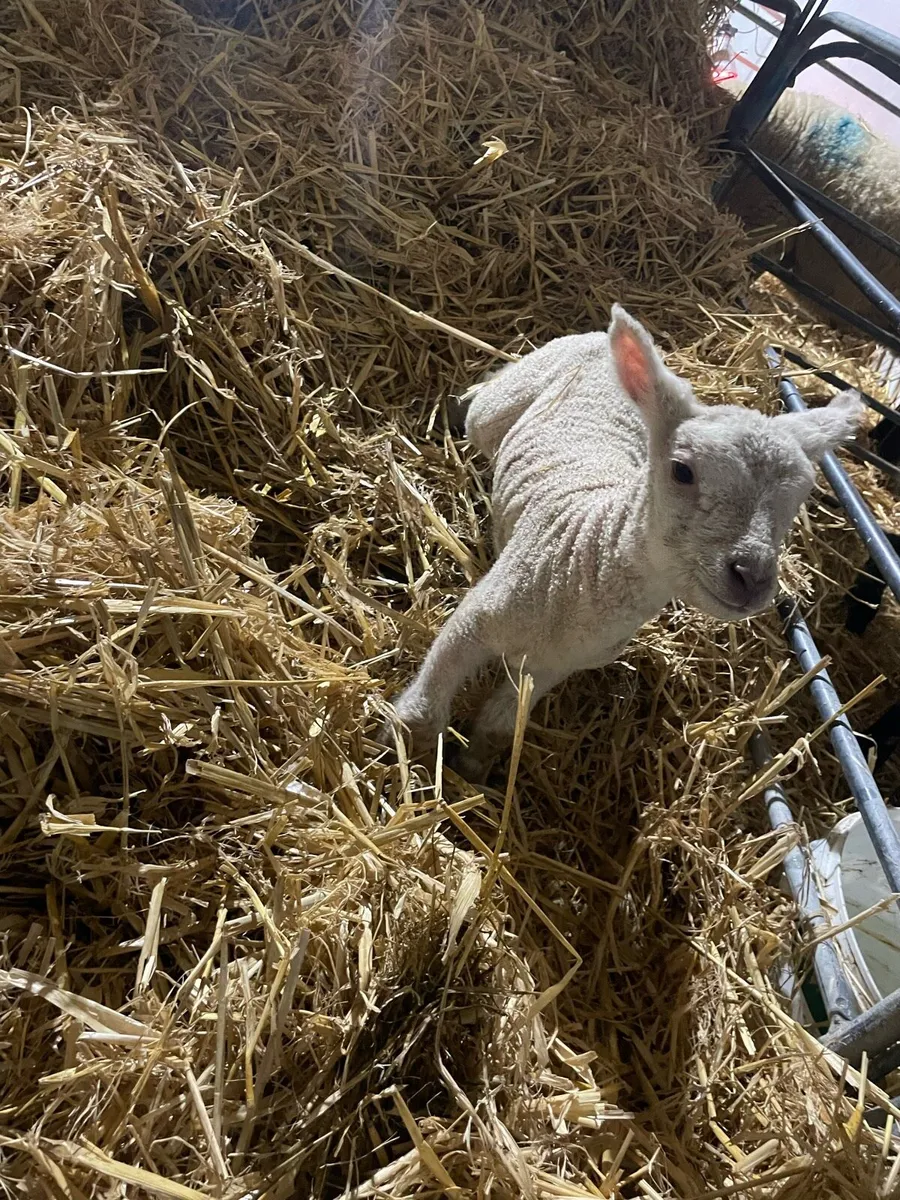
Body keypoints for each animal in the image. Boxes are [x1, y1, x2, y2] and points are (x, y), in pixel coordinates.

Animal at [381, 306, 863, 780]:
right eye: (682, 471)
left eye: (799, 500)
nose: (752, 575)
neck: (589, 560)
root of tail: (598, 335)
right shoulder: (476, 620)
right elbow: (423, 709)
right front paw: (406, 759)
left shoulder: (551, 667)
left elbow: (501, 728)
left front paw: (474, 768)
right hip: (502, 404)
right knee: (482, 400)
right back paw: (454, 405)